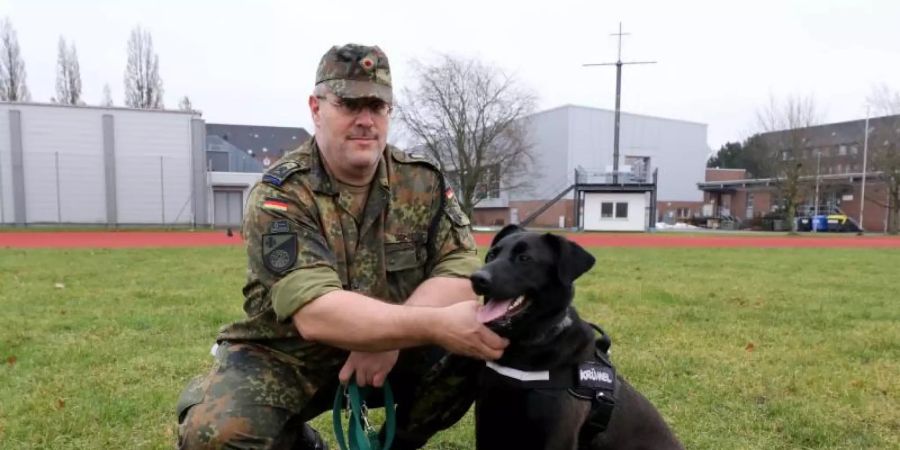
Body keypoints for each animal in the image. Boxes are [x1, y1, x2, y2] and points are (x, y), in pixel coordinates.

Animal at [472, 227, 684, 450]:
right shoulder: (487, 422)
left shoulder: (558, 435)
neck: (526, 347)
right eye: (491, 255)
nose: (476, 278)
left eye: (524, 258)